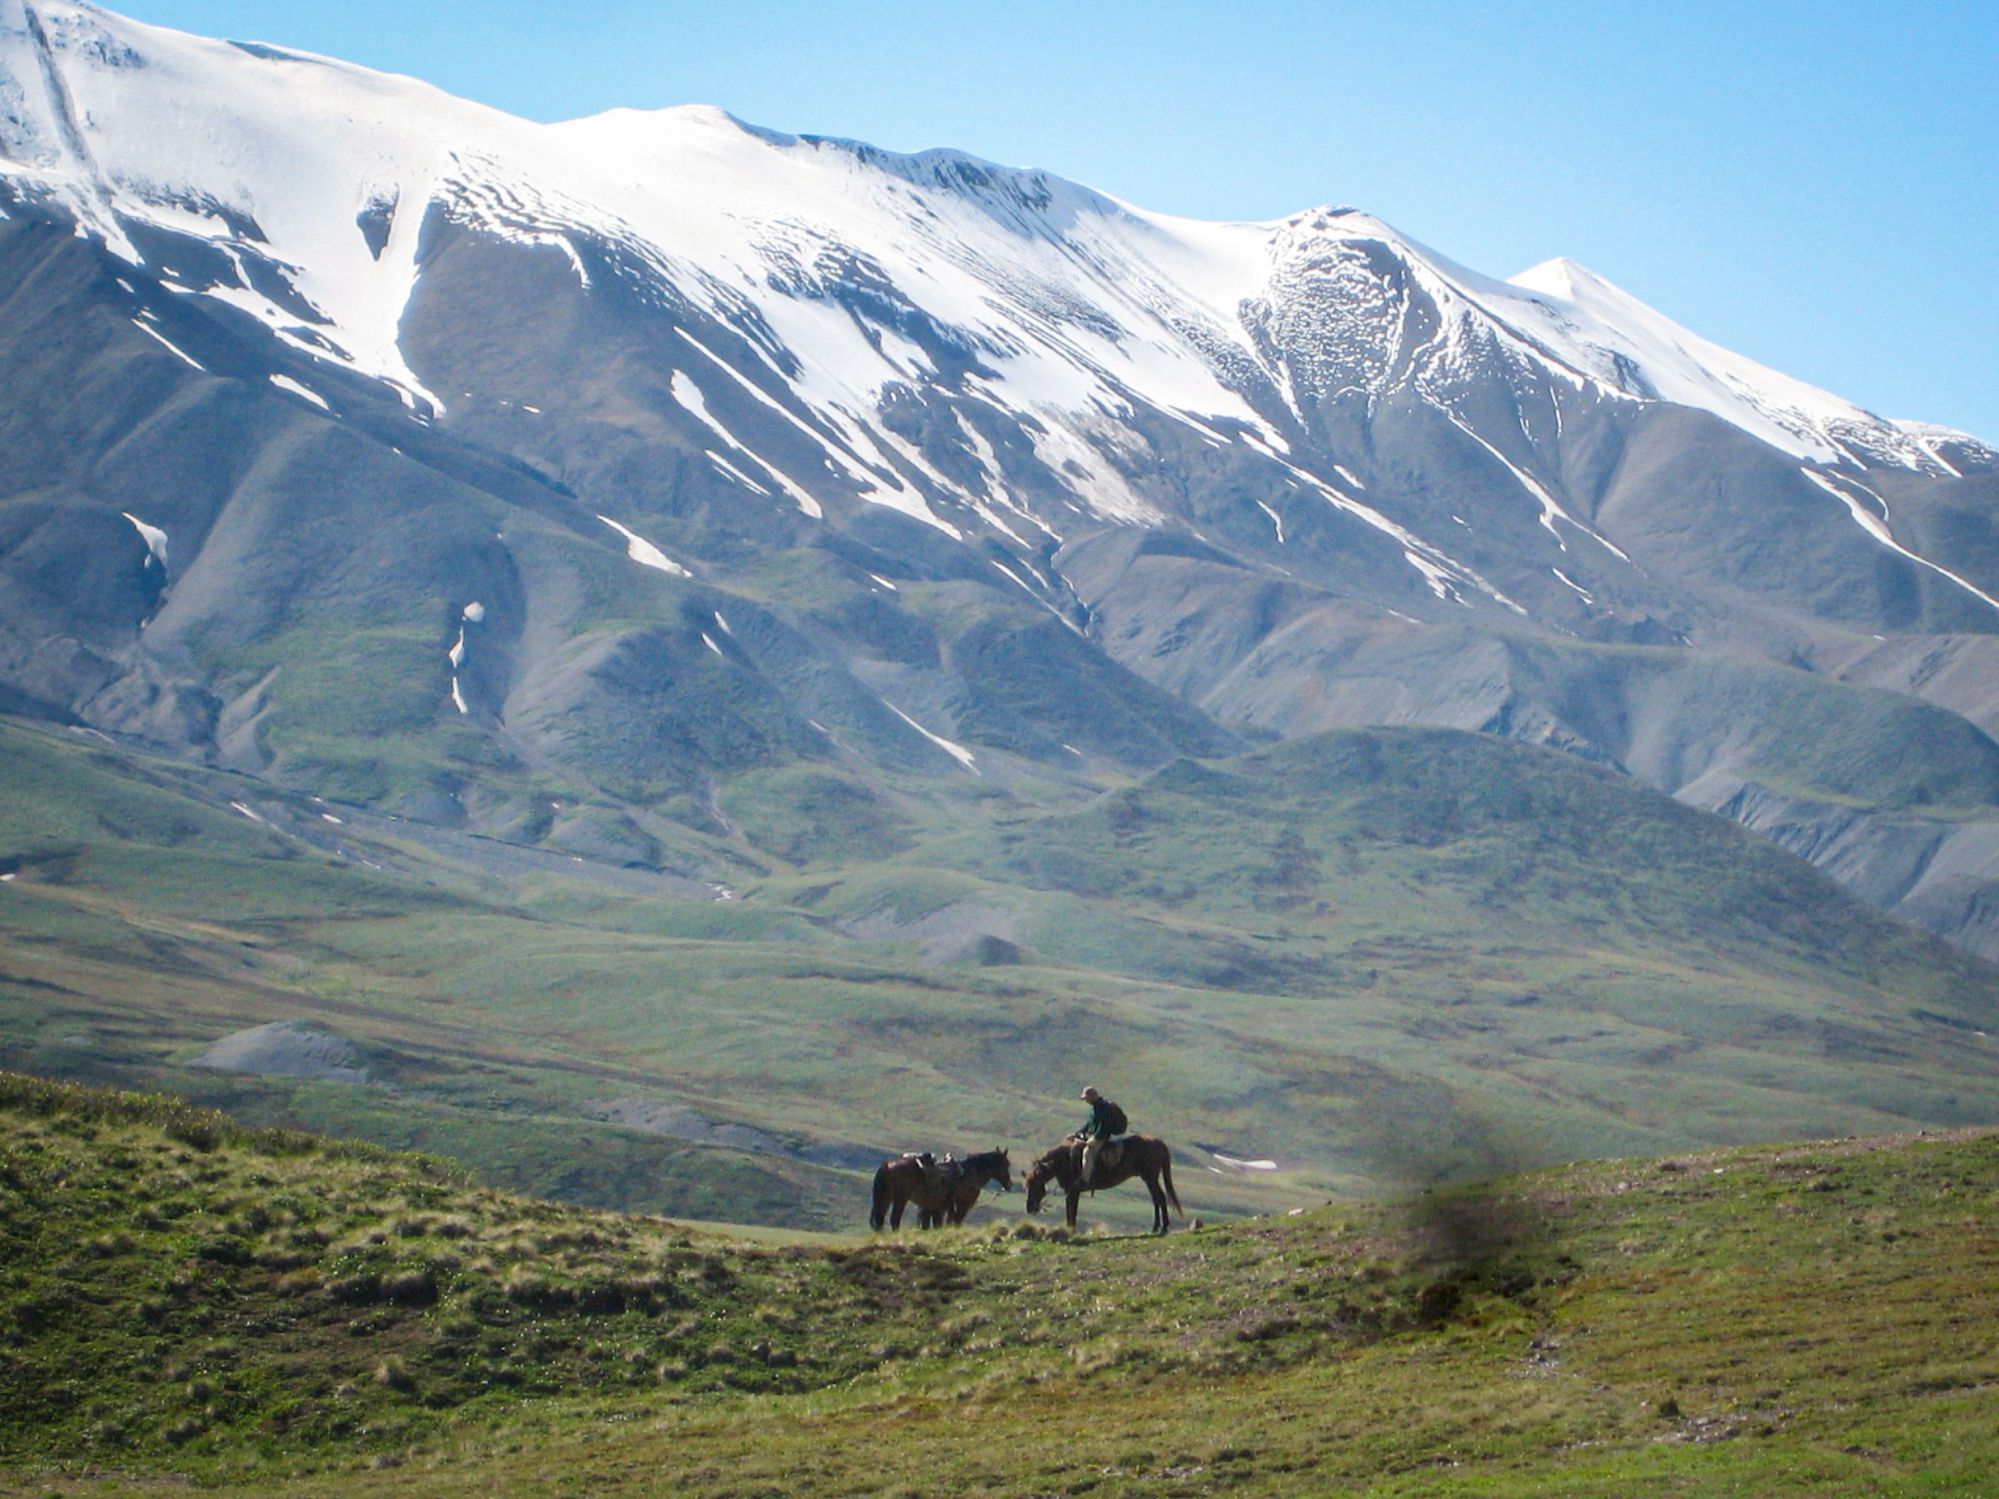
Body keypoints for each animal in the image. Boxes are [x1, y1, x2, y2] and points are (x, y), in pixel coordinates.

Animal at [867, 1151, 1015, 1231]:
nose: (1009, 1185)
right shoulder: (962, 1205)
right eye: (1006, 1164)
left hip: (886, 1197)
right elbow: (955, 1222)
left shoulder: (937, 1207)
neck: (970, 1173)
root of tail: (887, 1165)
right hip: (900, 1199)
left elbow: (935, 1224)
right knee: (894, 1220)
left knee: (880, 1219)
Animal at [1023, 1135, 1175, 1231]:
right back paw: (1158, 1226)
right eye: (1026, 1186)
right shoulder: (1070, 1192)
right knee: (1157, 1198)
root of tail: (1158, 1142)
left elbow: (1072, 1212)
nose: (1029, 1209)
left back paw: (1162, 1226)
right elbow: (1070, 1212)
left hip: (1150, 1178)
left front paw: (1071, 1231)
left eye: (1035, 1185)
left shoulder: (1073, 1191)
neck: (1065, 1160)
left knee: (1159, 1197)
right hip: (1150, 1178)